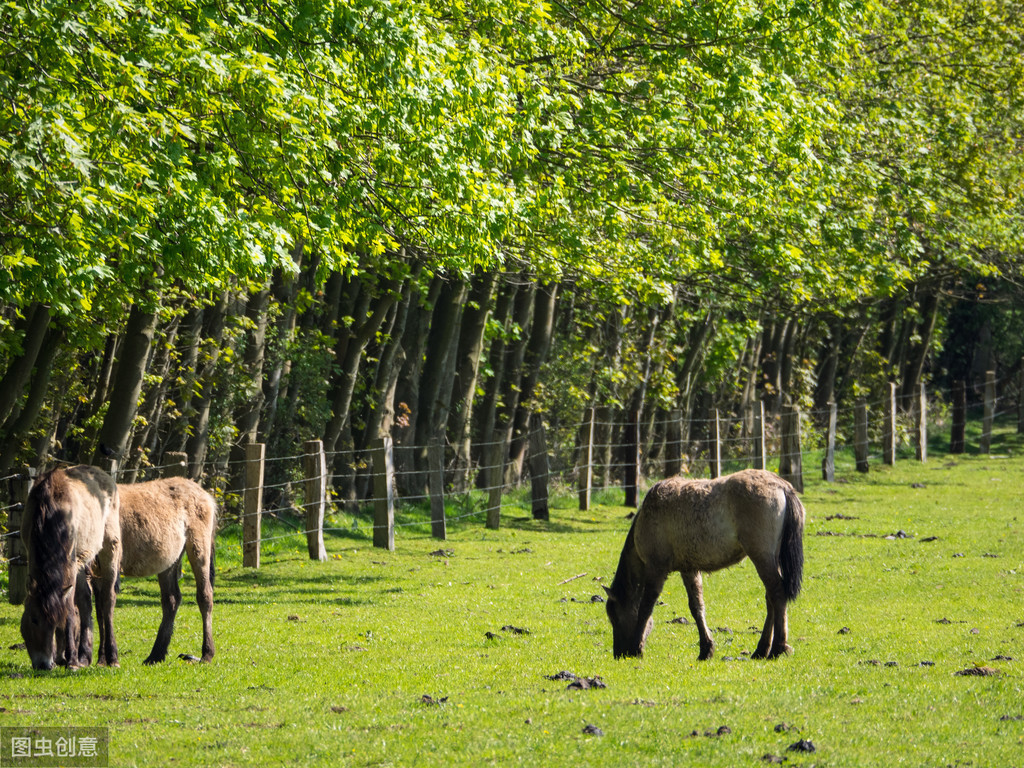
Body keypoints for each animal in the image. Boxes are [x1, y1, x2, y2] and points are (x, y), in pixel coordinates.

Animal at [20, 466, 120, 671]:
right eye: (33, 619)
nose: (44, 664)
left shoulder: (70, 565)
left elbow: (69, 613)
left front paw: (71, 661)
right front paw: (66, 657)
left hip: (109, 550)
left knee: (107, 602)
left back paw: (111, 657)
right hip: (84, 562)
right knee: (86, 601)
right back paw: (87, 656)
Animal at [118, 479, 218, 663]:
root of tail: (206, 495)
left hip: (198, 548)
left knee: (205, 596)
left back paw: (206, 653)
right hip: (169, 559)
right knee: (172, 599)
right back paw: (156, 654)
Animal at [602, 468, 802, 663]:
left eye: (614, 617)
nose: (619, 653)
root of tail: (782, 485)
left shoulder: (656, 569)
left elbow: (645, 607)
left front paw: (637, 647)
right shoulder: (688, 569)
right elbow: (697, 607)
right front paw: (706, 649)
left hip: (761, 556)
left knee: (777, 593)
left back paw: (777, 648)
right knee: (771, 599)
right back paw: (761, 650)